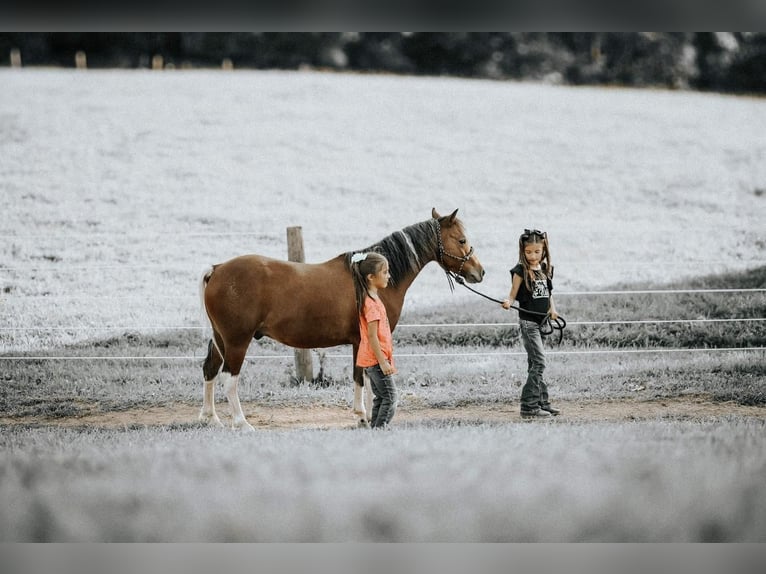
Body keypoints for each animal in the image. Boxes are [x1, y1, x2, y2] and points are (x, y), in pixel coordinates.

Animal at [198, 209, 486, 430]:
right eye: (461, 239)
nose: (480, 272)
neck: (369, 283)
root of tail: (217, 269)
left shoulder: (360, 343)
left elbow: (363, 376)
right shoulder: (363, 340)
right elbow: (362, 377)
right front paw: (363, 417)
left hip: (221, 340)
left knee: (210, 370)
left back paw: (210, 418)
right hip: (237, 342)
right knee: (229, 379)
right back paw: (241, 423)